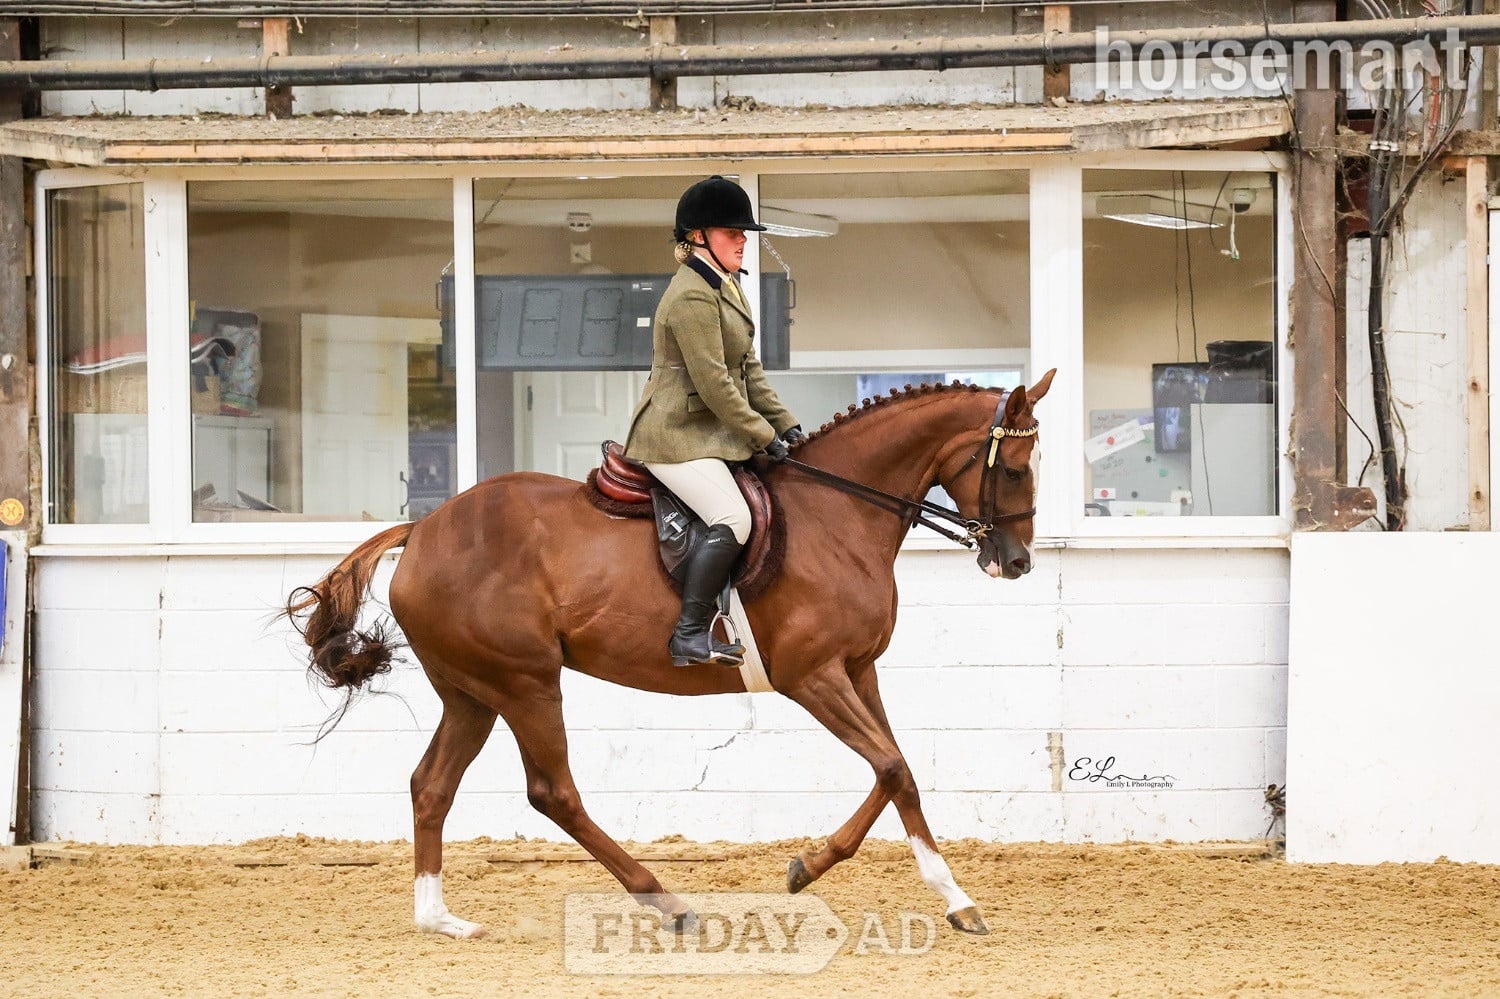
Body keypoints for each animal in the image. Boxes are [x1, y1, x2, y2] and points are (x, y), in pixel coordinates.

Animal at [286, 369, 1055, 940]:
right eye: (1017, 470)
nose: (1017, 562)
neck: (838, 515)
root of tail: (421, 531)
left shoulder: (857, 671)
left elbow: (898, 772)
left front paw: (908, 888)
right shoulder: (812, 677)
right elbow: (892, 766)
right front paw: (869, 879)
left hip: (473, 691)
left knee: (432, 785)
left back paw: (440, 918)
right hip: (525, 681)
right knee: (551, 791)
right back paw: (666, 900)